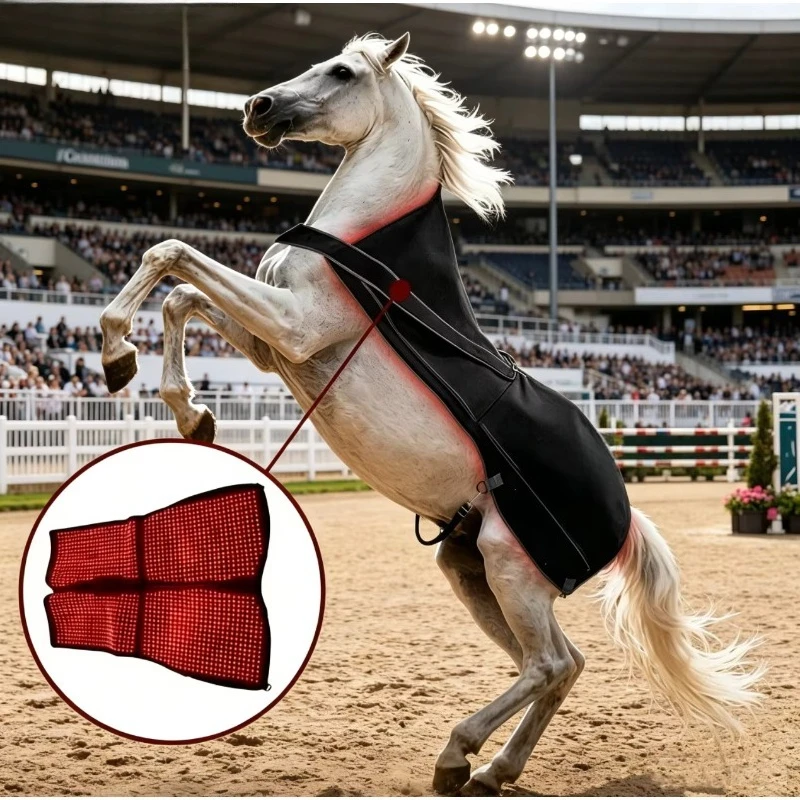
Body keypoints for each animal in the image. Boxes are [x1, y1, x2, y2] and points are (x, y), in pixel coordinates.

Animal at [100, 33, 764, 795]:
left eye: (342, 72)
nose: (258, 108)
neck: (364, 243)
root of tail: (627, 521)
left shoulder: (296, 328)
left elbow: (171, 254)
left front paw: (119, 351)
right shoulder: (276, 348)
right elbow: (181, 294)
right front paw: (183, 407)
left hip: (511, 569)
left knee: (549, 664)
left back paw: (459, 754)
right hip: (471, 570)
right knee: (562, 666)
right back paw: (495, 769)